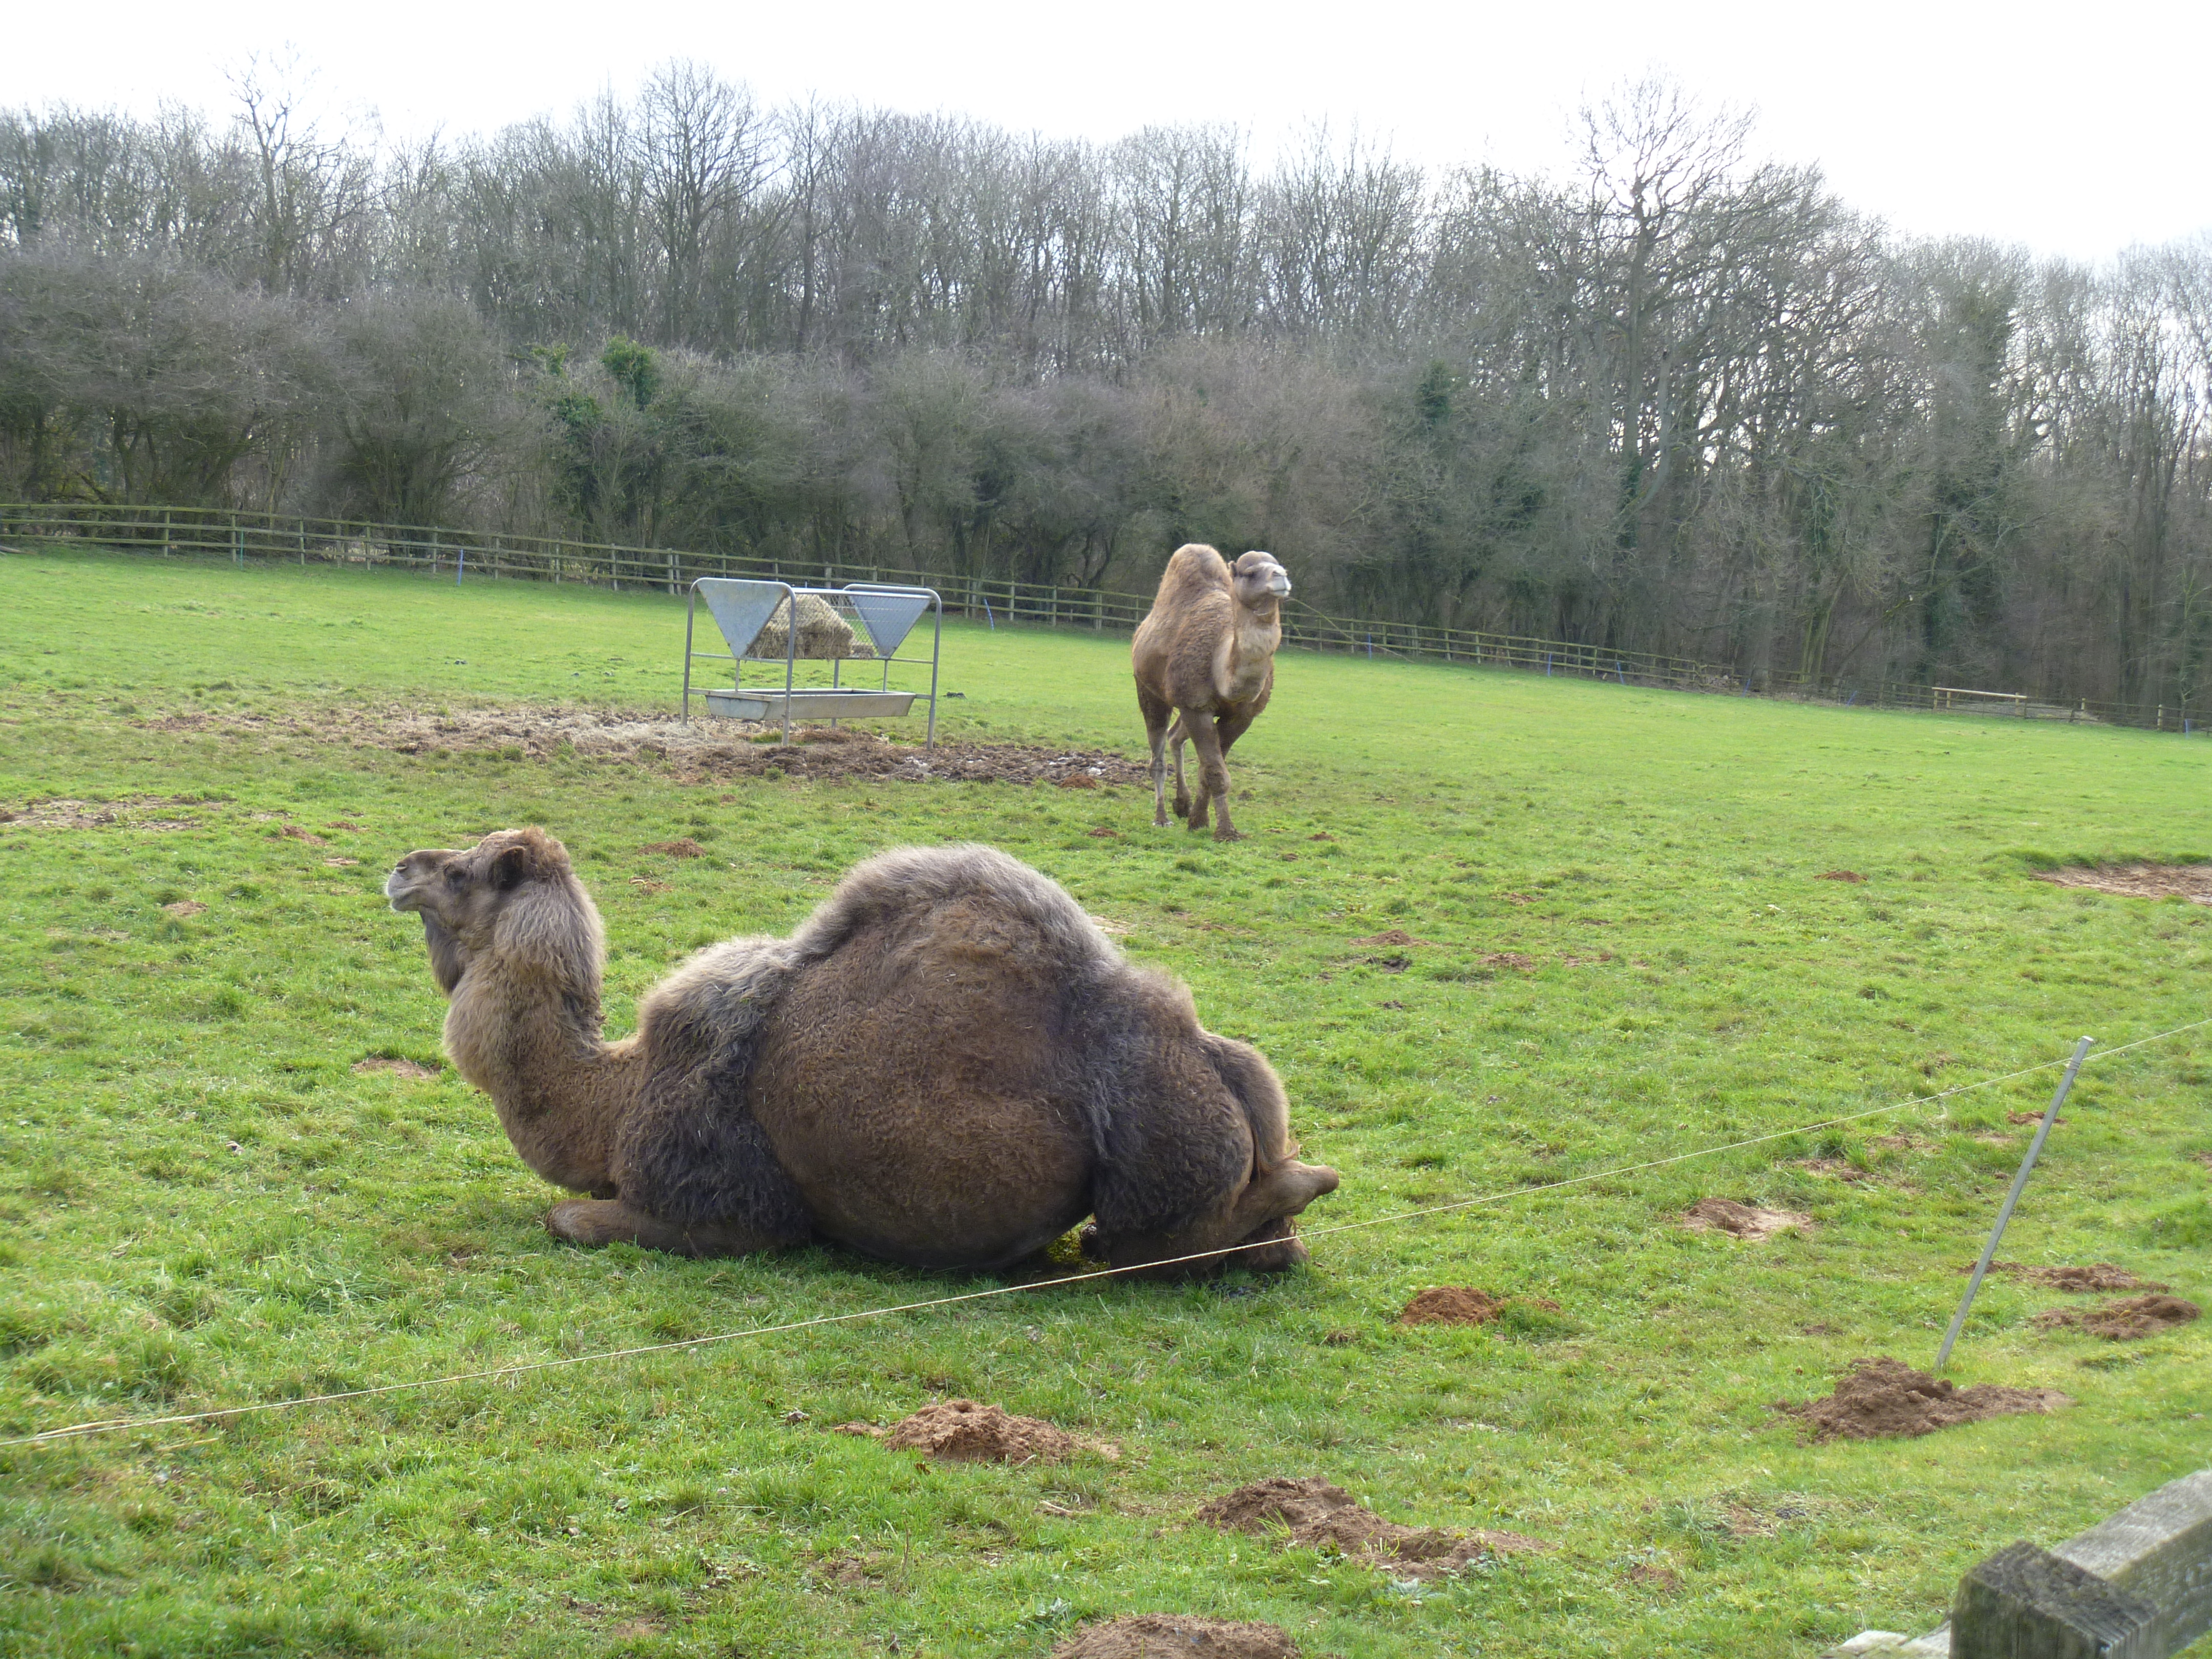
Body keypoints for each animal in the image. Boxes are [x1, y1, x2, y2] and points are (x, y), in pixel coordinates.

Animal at [387, 832, 1336, 1274]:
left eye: (463, 872)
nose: (400, 868)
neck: (615, 1096)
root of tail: (1215, 1060)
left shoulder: (733, 1210)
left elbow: (570, 1220)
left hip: (1156, 1155)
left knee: (1152, 1240)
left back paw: (1307, 1181)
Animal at [1132, 548, 1291, 845]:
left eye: (1282, 568)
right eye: (1251, 573)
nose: (1281, 578)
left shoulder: (1242, 716)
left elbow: (1211, 769)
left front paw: (1198, 820)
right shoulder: (1196, 706)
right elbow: (1215, 771)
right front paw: (1226, 832)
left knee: (1175, 737)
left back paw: (1181, 804)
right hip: (1148, 690)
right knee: (1157, 753)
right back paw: (1162, 818)